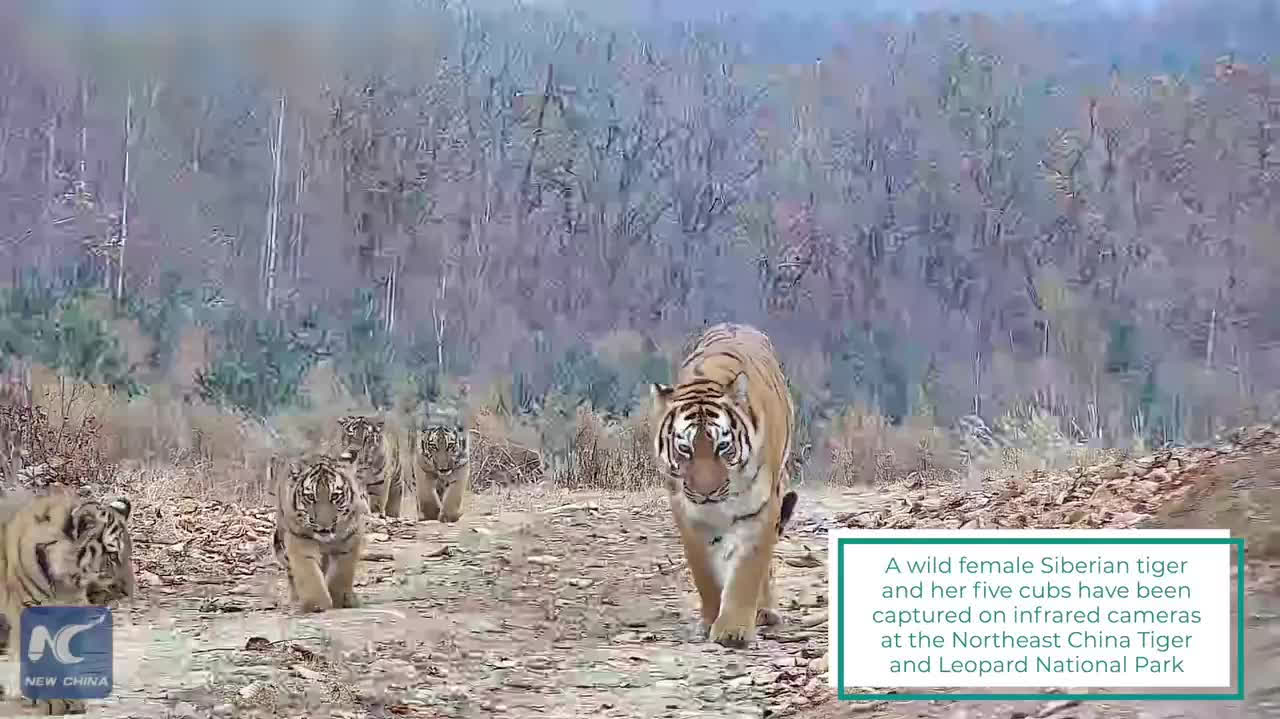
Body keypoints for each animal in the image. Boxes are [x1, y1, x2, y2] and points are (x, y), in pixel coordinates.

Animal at [0, 489, 134, 716]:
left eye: (129, 554)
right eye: (113, 555)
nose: (129, 593)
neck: (66, 585)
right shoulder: (31, 611)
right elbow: (45, 657)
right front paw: (57, 701)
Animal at [273, 450, 368, 613]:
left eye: (335, 496)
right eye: (311, 497)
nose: (324, 525)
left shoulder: (350, 539)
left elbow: (341, 574)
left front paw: (340, 599)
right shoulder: (299, 540)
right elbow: (309, 573)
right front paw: (316, 604)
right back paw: (295, 600)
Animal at [650, 322, 795, 649]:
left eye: (723, 446)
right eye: (685, 448)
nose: (707, 492)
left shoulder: (762, 508)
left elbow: (747, 570)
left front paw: (733, 630)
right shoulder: (687, 513)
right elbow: (704, 572)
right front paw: (710, 619)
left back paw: (765, 611)